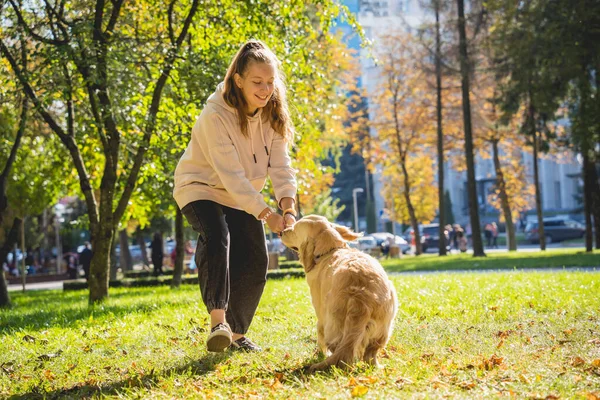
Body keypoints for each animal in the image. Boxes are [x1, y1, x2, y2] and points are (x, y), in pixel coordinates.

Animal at [282, 216, 398, 372]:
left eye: (294, 230)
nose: (282, 231)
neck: (331, 250)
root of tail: (361, 298)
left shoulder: (320, 314)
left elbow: (320, 336)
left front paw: (320, 354)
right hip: (384, 329)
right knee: (370, 355)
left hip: (332, 324)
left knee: (338, 350)